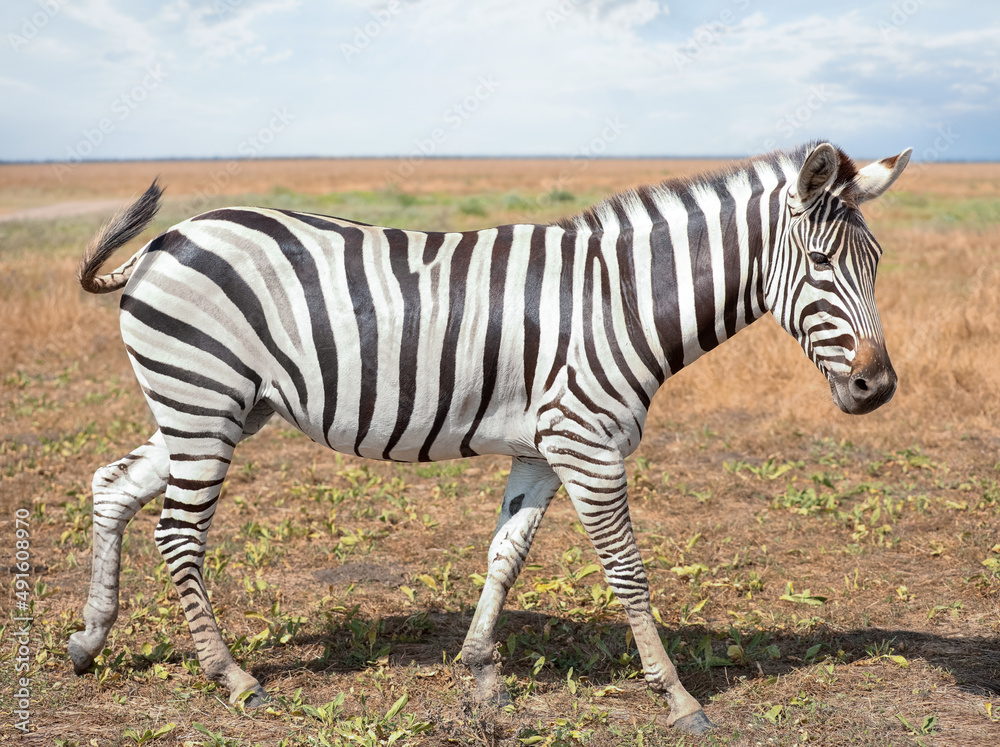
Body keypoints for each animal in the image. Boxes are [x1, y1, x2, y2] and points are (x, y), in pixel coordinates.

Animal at [69, 141, 909, 733]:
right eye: (823, 262)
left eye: (876, 262)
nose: (880, 388)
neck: (620, 299)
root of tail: (161, 243)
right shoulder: (588, 444)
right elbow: (628, 573)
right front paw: (677, 696)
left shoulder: (542, 450)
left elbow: (505, 557)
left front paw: (480, 675)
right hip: (203, 400)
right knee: (178, 533)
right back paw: (234, 678)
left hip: (218, 406)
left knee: (112, 486)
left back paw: (89, 640)